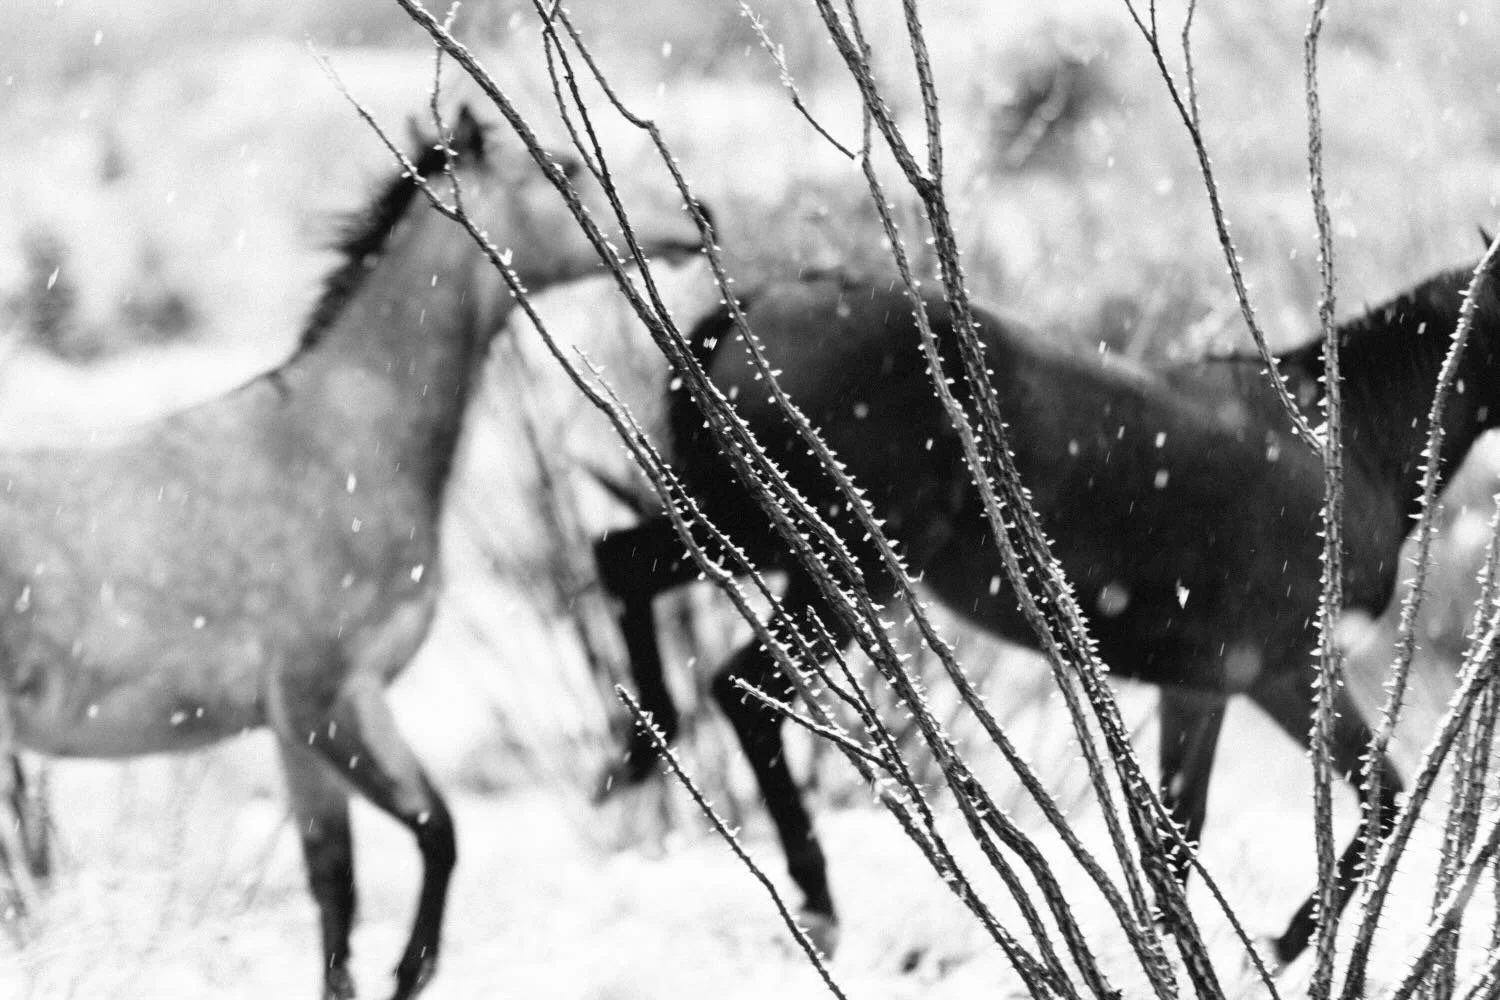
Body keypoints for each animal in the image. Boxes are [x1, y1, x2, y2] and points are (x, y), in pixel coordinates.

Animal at [0, 104, 700, 1000]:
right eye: (563, 167)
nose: (697, 218)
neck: (336, 446)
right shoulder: (331, 701)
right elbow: (438, 830)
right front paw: (413, 969)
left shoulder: (298, 732)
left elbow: (335, 883)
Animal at [592, 255, 1500, 967]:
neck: (1347, 446)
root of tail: (747, 310)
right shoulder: (1254, 674)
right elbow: (1262, 822)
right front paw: (1259, 949)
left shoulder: (1232, 686)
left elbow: (1246, 821)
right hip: (844, 567)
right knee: (743, 691)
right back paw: (815, 899)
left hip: (744, 530)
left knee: (618, 565)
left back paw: (639, 752)